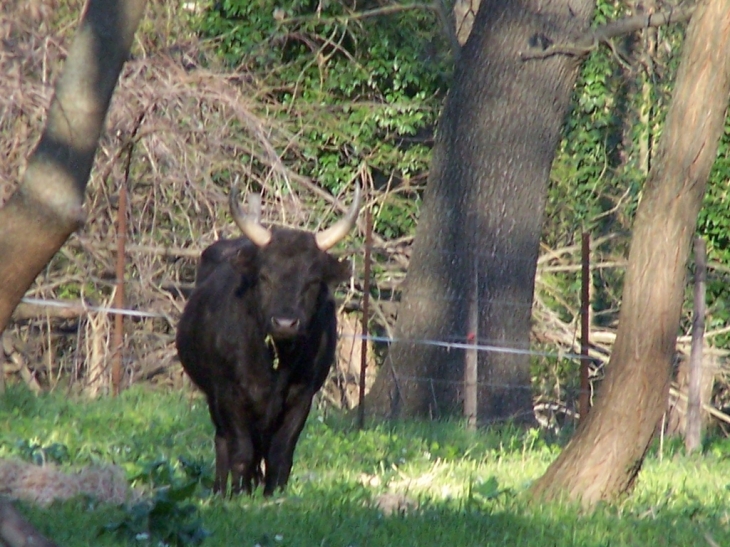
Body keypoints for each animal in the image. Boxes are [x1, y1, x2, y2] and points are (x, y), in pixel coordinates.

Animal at [176, 184, 358, 496]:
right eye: (264, 276)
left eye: (312, 281)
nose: (285, 323)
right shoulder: (228, 393)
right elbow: (241, 451)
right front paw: (239, 493)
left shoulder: (302, 395)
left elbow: (281, 453)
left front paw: (274, 493)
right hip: (213, 396)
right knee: (222, 441)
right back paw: (221, 490)